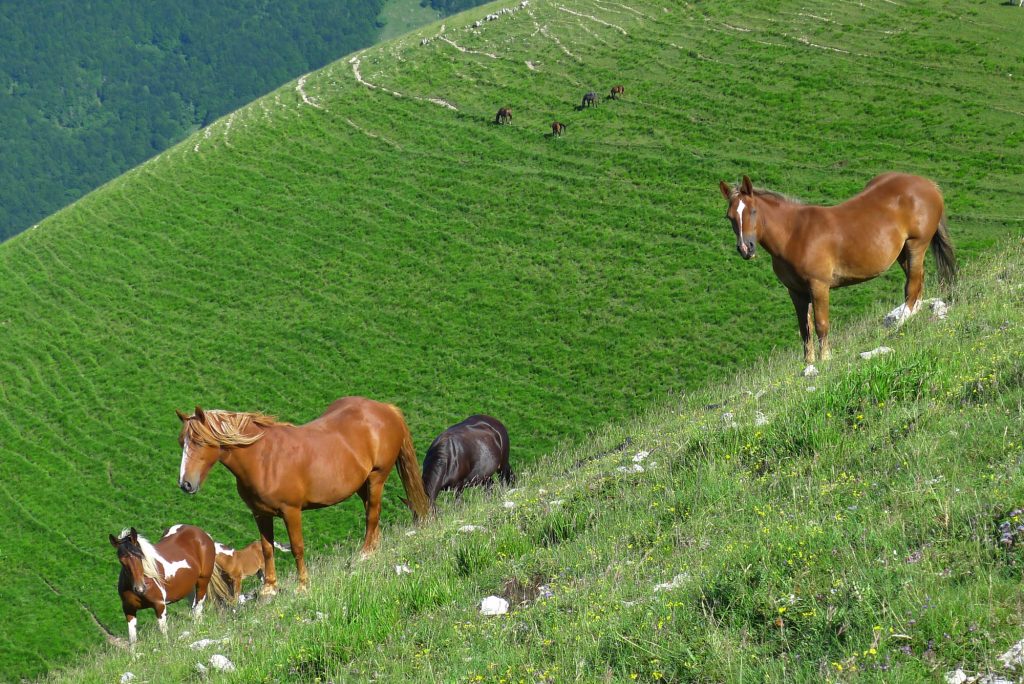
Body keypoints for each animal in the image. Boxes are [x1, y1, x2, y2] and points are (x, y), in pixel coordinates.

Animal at [176, 397, 431, 595]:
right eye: (182, 442)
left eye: (200, 441)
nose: (185, 484)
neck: (263, 459)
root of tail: (385, 408)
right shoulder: (260, 514)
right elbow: (266, 548)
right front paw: (269, 588)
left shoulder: (291, 511)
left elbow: (297, 547)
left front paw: (303, 585)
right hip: (362, 483)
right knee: (372, 512)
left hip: (377, 477)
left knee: (372, 514)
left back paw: (366, 553)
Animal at [718, 173, 956, 363]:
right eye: (730, 217)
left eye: (753, 211)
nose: (745, 248)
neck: (794, 234)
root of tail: (928, 185)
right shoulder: (796, 292)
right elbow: (804, 329)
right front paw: (809, 363)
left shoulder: (819, 286)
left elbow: (821, 324)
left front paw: (825, 359)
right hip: (903, 253)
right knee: (918, 282)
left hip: (916, 245)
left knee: (912, 285)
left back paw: (902, 323)